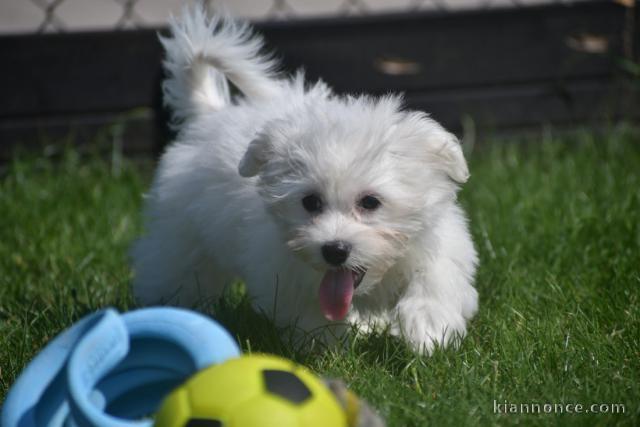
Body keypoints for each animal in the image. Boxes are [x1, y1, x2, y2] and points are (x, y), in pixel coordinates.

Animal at [132, 7, 478, 354]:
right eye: (310, 202)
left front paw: (428, 330)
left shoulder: (441, 239)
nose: (335, 250)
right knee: (175, 272)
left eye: (371, 202)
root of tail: (210, 114)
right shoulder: (283, 274)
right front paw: (327, 351)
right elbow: (311, 315)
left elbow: (435, 277)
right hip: (182, 238)